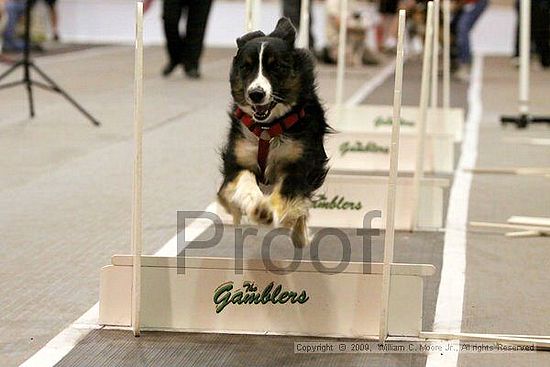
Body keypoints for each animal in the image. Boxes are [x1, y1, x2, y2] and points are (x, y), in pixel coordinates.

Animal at [219, 17, 332, 247]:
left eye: (277, 67)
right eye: (246, 67)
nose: (256, 94)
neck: (267, 128)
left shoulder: (301, 163)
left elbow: (288, 192)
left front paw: (266, 210)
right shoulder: (236, 159)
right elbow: (243, 178)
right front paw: (253, 203)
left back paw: (299, 235)